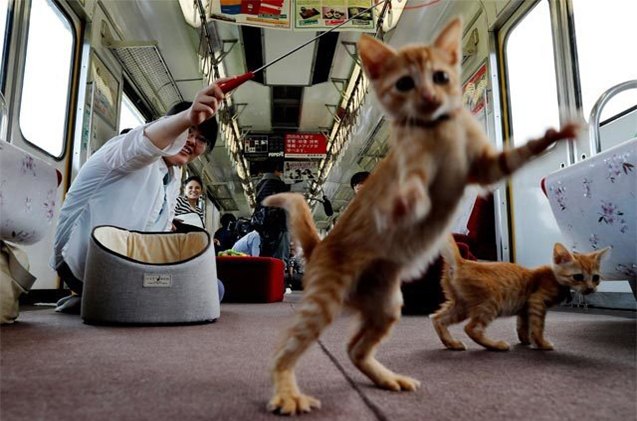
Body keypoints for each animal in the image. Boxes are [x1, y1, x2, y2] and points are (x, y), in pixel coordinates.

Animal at [260, 15, 580, 414]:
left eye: (441, 77)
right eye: (404, 83)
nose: (429, 97)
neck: (439, 130)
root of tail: (319, 247)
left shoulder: (485, 168)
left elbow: (514, 155)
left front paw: (555, 134)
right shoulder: (412, 166)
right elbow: (412, 185)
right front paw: (407, 202)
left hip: (387, 303)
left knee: (353, 349)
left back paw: (386, 378)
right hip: (325, 298)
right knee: (283, 351)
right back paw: (287, 392)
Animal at [432, 236, 608, 352]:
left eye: (595, 278)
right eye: (578, 277)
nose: (590, 288)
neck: (553, 277)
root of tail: (462, 262)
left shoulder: (525, 307)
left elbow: (522, 325)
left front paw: (525, 340)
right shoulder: (537, 301)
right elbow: (537, 326)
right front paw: (541, 344)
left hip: (461, 305)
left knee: (437, 318)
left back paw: (452, 344)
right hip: (490, 303)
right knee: (471, 328)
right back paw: (496, 345)